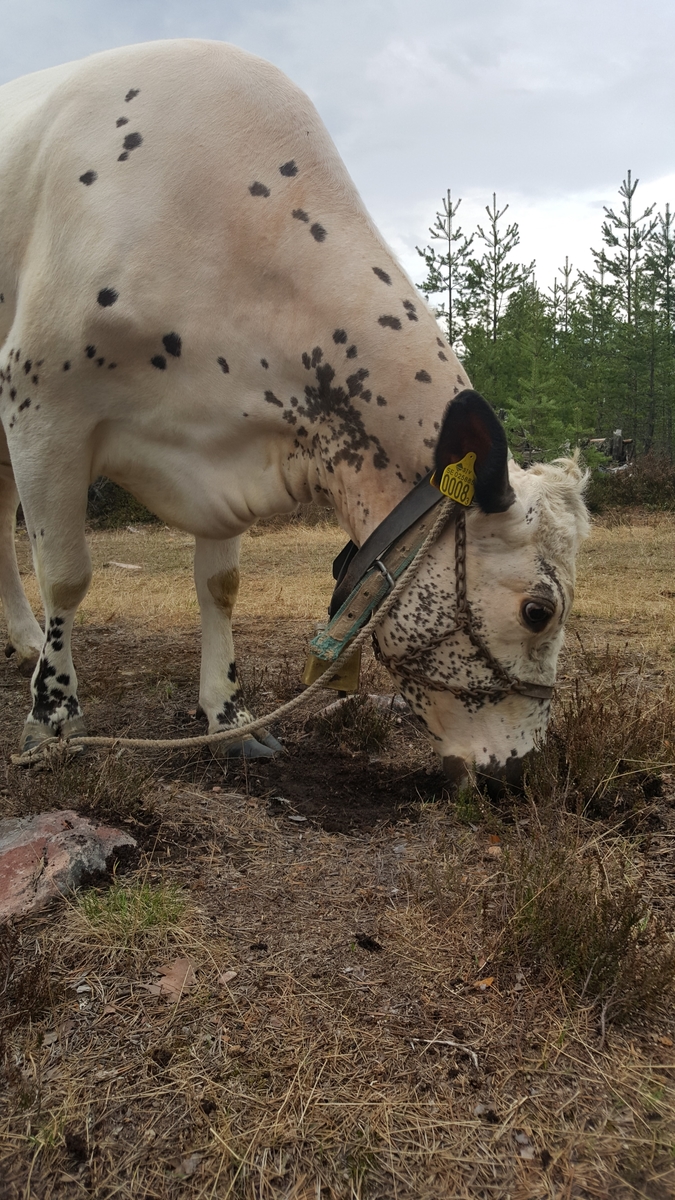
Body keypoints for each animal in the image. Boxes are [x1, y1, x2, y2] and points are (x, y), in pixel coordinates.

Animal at [0, 39, 589, 786]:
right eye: (538, 611)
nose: (519, 770)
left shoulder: (223, 441)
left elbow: (220, 584)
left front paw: (229, 716)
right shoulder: (42, 408)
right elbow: (67, 576)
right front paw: (52, 720)